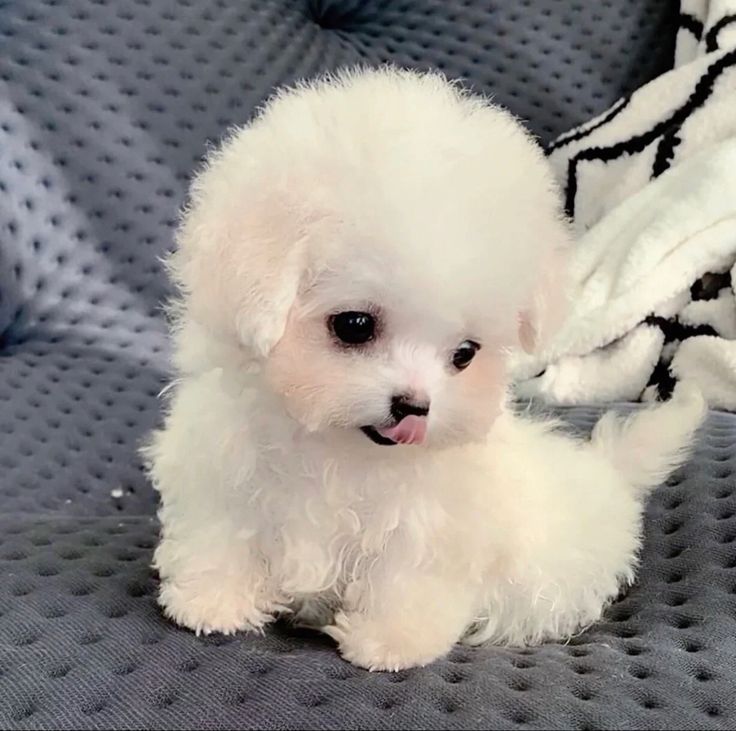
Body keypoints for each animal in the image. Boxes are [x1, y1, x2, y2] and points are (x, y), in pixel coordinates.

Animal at [145, 70, 708, 676]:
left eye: (465, 353)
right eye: (354, 325)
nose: (415, 408)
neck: (335, 450)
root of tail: (605, 473)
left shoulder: (435, 521)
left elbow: (409, 574)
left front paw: (391, 641)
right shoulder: (221, 466)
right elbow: (221, 531)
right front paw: (211, 600)